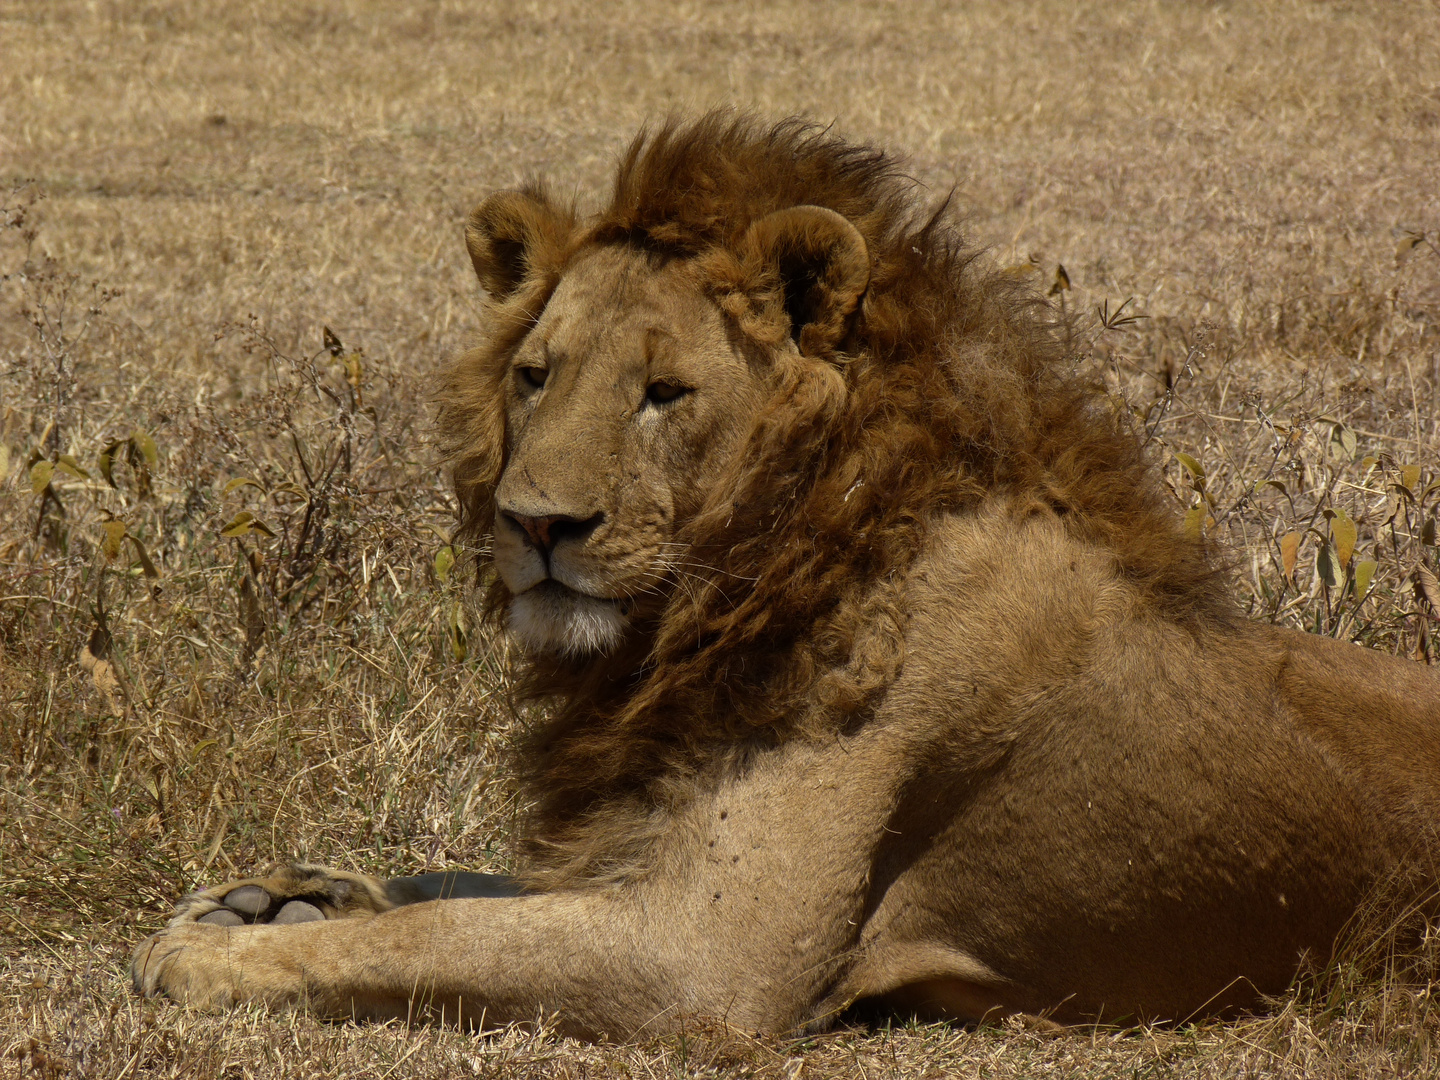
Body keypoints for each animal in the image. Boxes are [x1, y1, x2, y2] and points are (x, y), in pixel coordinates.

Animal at [132, 112, 1440, 1042]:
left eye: (664, 392)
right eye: (536, 375)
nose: (535, 524)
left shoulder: (707, 961)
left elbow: (438, 942)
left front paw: (215, 954)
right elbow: (463, 893)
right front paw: (280, 895)